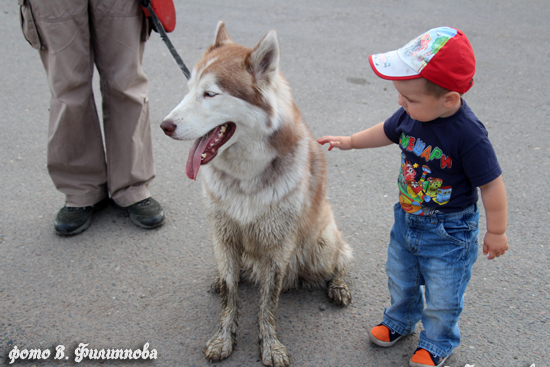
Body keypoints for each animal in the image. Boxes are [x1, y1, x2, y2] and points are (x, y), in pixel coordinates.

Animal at [160, 22, 354, 367]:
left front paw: (270, 344)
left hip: (322, 245)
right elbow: (229, 293)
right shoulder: (223, 234)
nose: (164, 125)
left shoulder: (278, 245)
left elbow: (268, 303)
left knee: (340, 260)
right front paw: (224, 337)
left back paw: (338, 285)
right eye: (189, 89)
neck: (244, 177)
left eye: (210, 94)